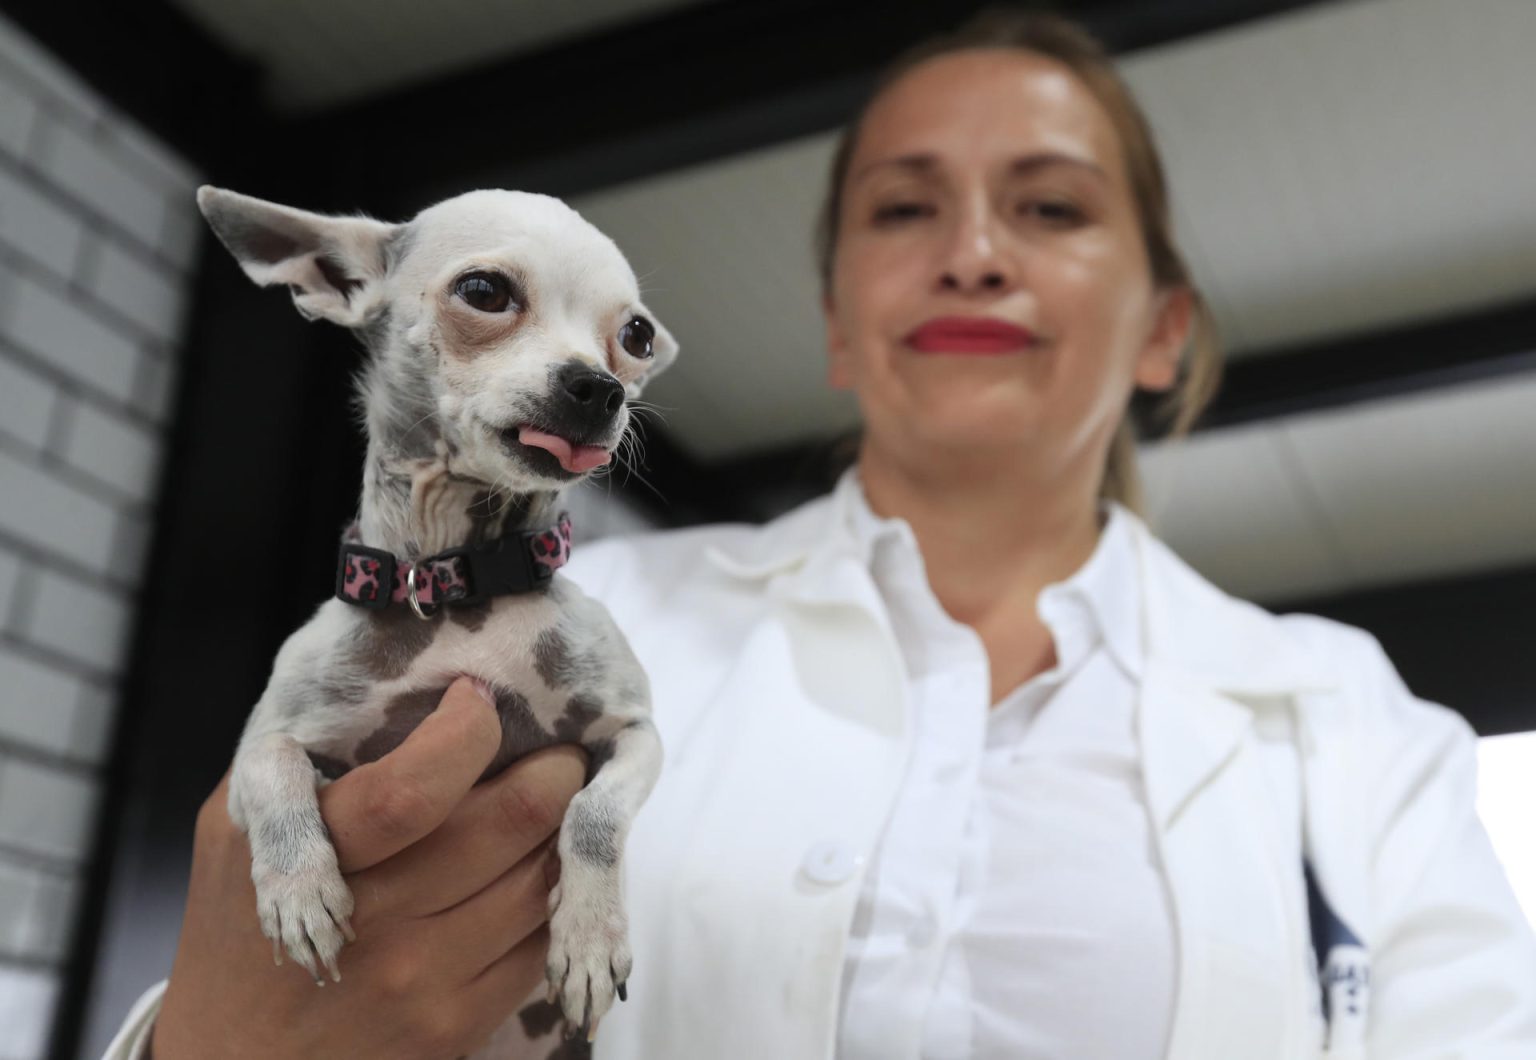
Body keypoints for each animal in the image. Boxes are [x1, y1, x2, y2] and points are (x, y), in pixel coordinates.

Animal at [196, 183, 672, 1050]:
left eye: (636, 336)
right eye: (485, 292)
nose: (600, 387)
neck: (458, 590)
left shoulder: (633, 734)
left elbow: (595, 815)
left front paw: (591, 937)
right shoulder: (264, 746)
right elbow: (274, 769)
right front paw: (299, 893)